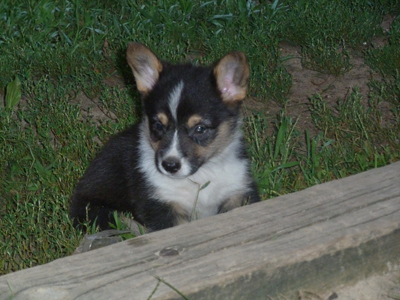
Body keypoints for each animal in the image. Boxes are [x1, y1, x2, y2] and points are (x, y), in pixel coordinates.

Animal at [69, 42, 260, 231]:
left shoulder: (238, 192)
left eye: (200, 129)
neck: (199, 177)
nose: (170, 166)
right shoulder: (162, 206)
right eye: (158, 126)